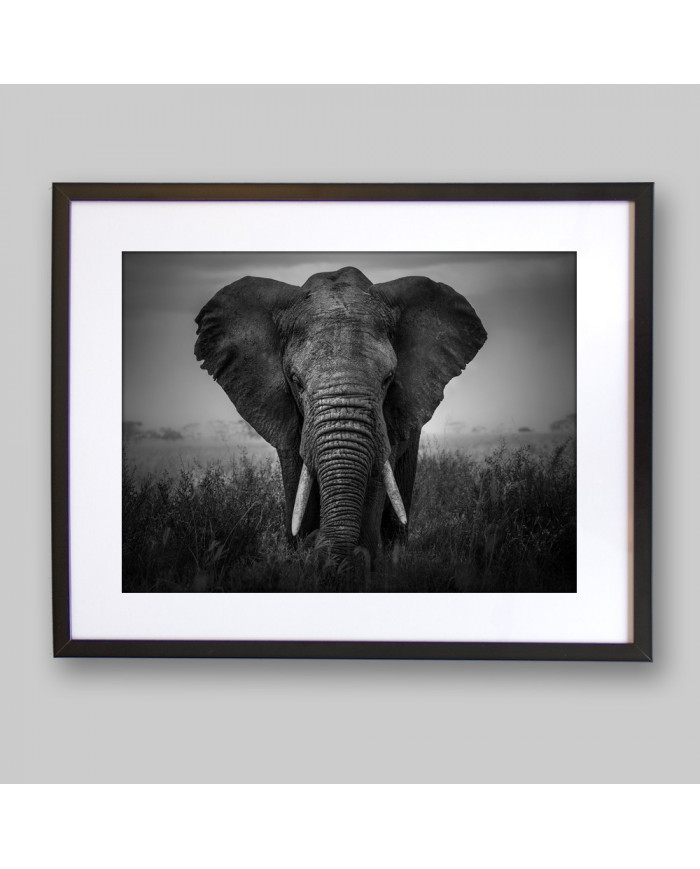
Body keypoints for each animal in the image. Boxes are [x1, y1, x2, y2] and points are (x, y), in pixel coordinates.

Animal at [194, 266, 486, 567]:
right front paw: (303, 553)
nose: (316, 543)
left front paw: (356, 562)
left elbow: (376, 475)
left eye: (387, 379)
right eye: (296, 382)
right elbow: (297, 475)